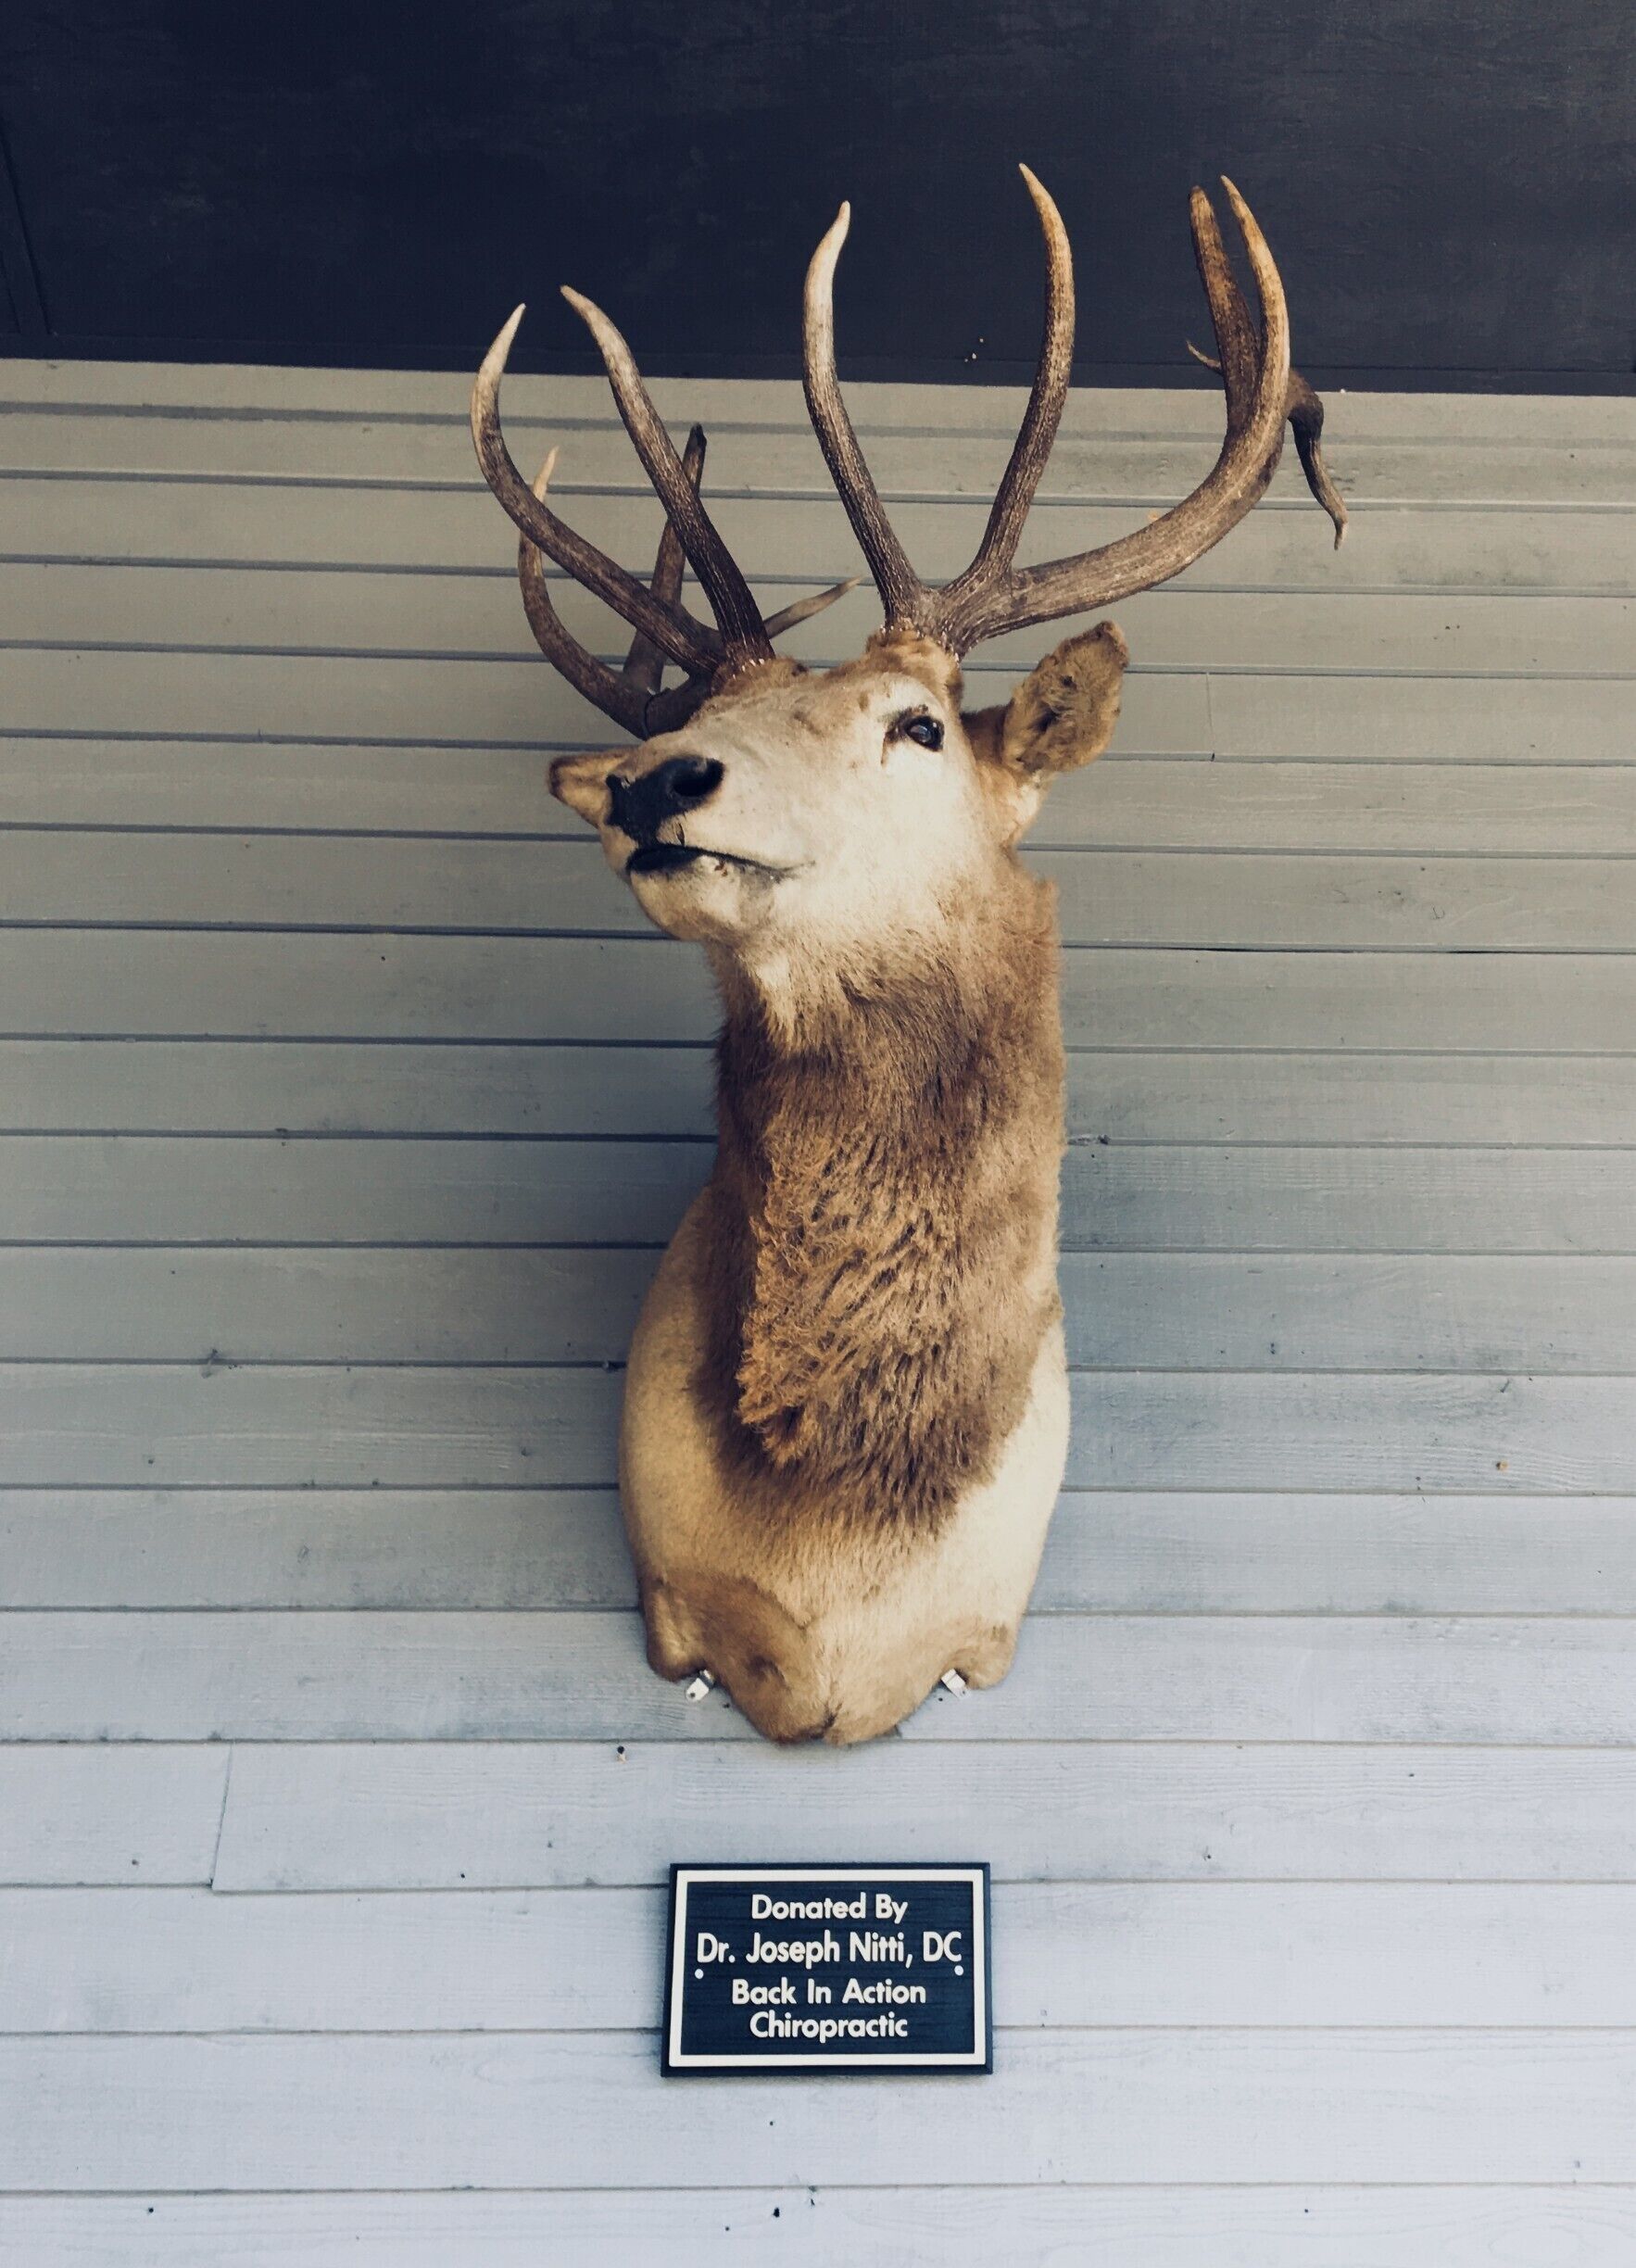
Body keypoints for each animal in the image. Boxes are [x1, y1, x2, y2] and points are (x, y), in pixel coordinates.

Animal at [472, 171, 1345, 1745]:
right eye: (696, 714)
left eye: (919, 724)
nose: (649, 779)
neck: (843, 1552)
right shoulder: (673, 1617)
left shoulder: (982, 1636)